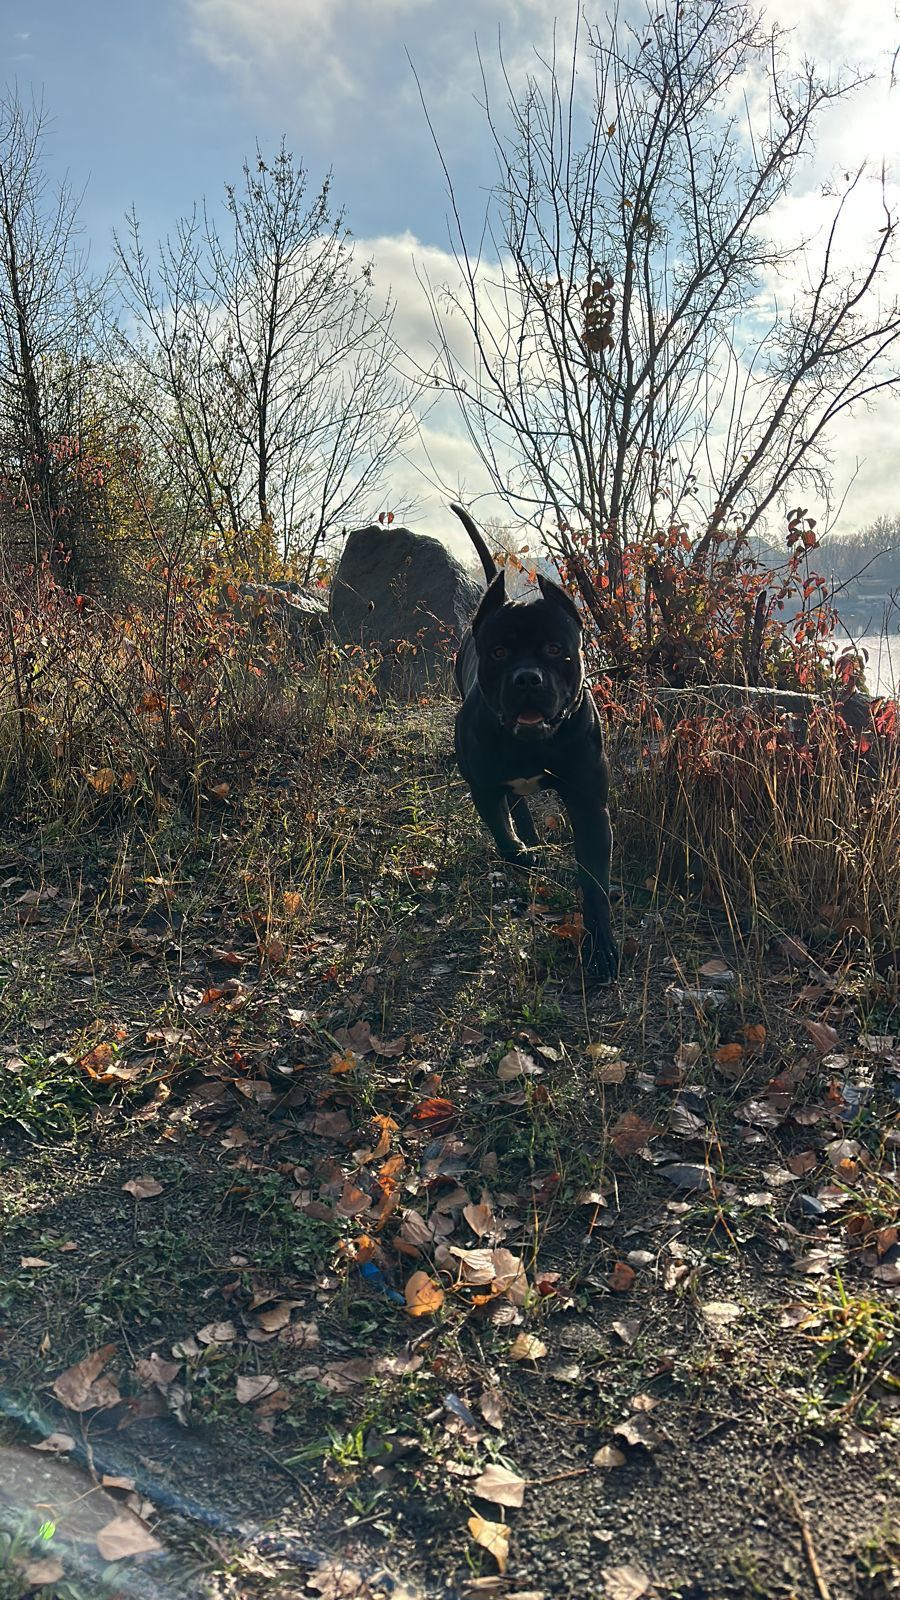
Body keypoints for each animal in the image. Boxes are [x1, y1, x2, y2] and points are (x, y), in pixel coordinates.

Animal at [448, 499, 614, 979]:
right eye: (500, 652)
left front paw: (601, 949)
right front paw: (520, 852)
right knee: (514, 805)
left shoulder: (588, 804)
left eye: (556, 649)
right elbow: (501, 832)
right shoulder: (483, 788)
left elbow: (594, 885)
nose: (527, 678)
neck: (531, 742)